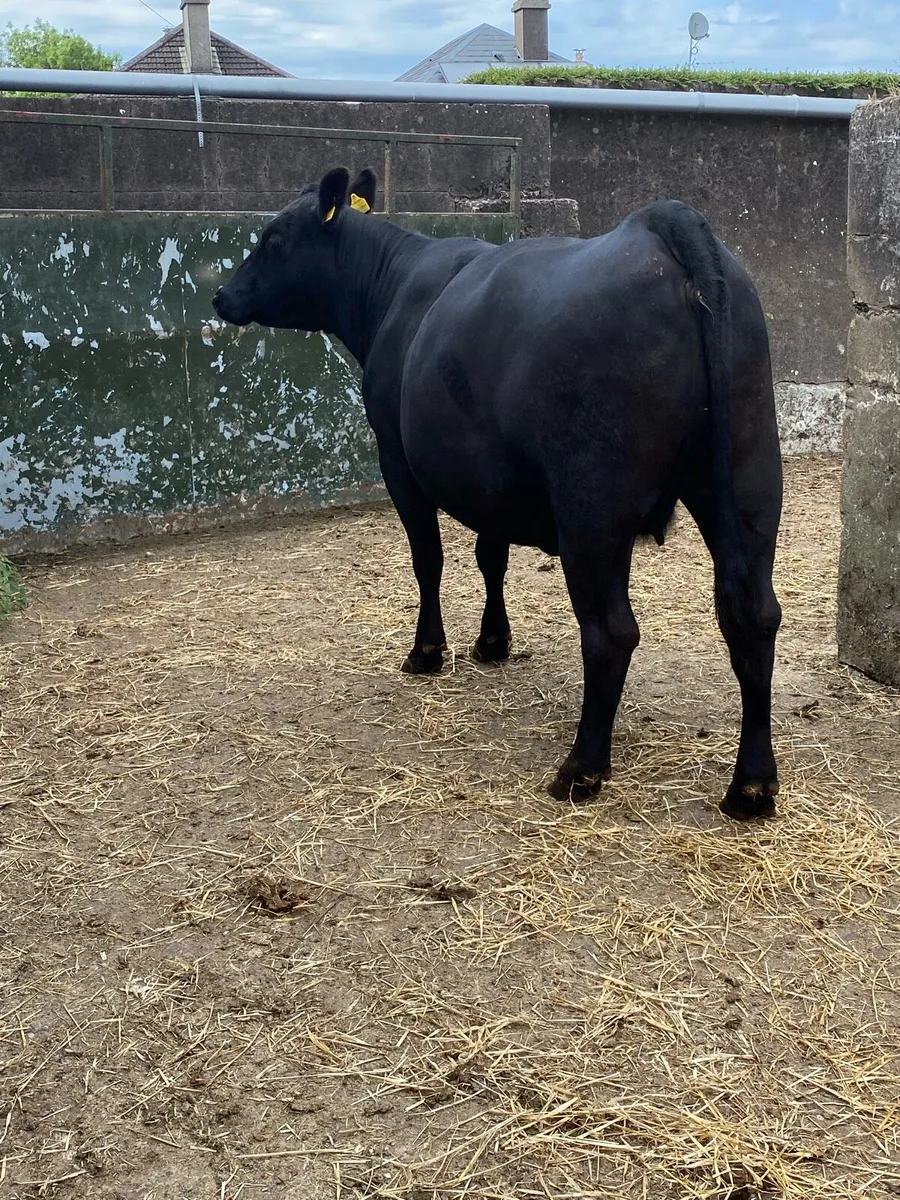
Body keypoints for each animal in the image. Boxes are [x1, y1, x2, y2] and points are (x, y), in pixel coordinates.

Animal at [213, 167, 783, 821]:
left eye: (274, 238)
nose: (221, 295)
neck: (393, 286)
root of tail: (663, 224)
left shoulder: (397, 459)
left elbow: (429, 559)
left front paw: (427, 652)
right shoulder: (488, 474)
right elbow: (492, 556)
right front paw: (493, 641)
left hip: (593, 507)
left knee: (611, 631)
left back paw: (581, 769)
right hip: (748, 477)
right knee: (754, 615)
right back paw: (751, 786)